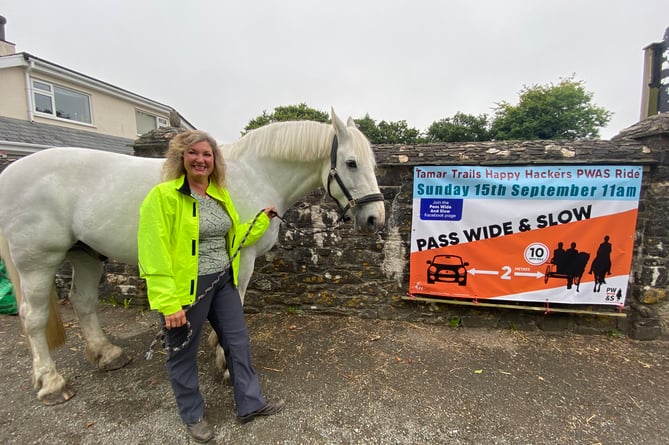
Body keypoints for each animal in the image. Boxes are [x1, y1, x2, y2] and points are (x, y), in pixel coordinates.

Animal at [0, 109, 384, 404]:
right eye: (351, 163)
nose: (375, 218)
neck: (255, 173)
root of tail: (10, 172)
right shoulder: (241, 257)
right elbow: (236, 306)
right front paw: (226, 363)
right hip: (38, 260)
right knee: (33, 317)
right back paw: (51, 383)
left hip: (86, 254)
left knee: (82, 301)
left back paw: (106, 354)